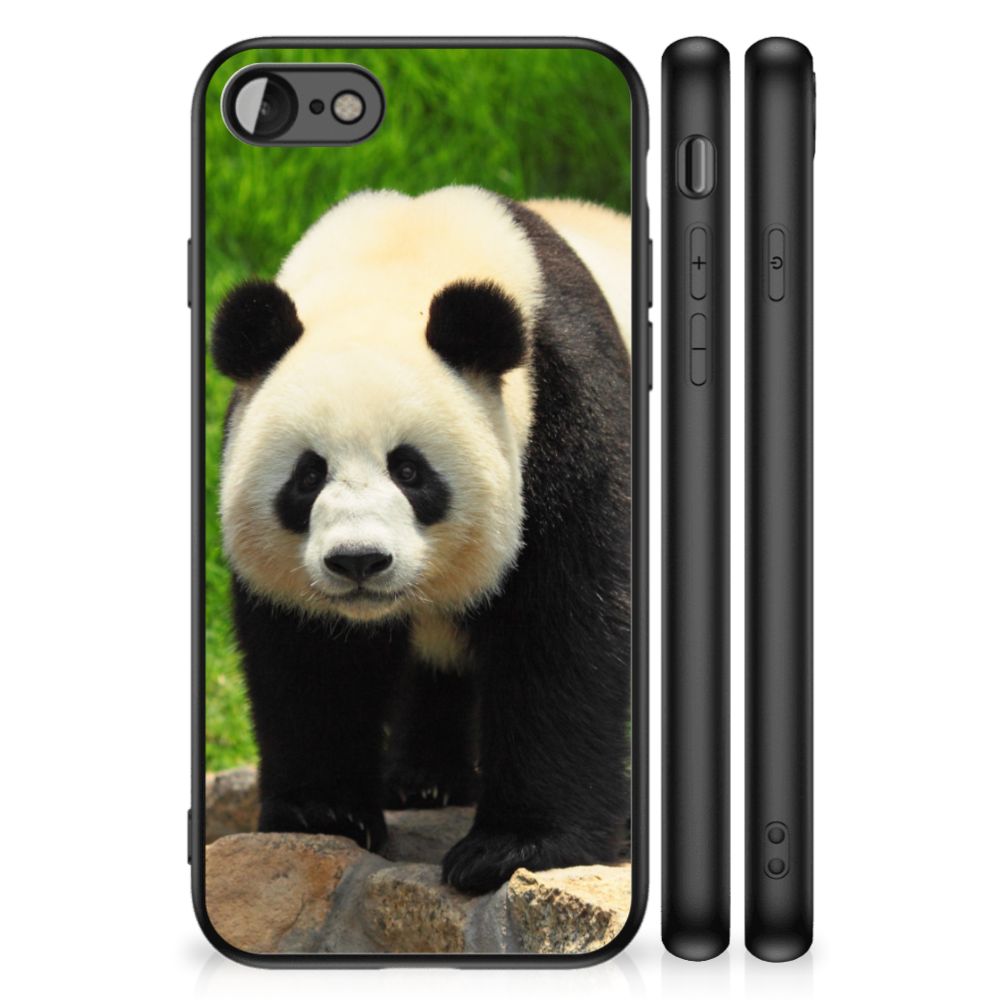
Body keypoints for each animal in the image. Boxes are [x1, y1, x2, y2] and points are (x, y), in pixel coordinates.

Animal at [211, 185, 632, 894]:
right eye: (308, 475)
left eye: (409, 470)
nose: (358, 561)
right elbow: (309, 656)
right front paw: (324, 813)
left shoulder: (567, 416)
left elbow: (566, 629)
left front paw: (513, 847)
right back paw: (424, 781)